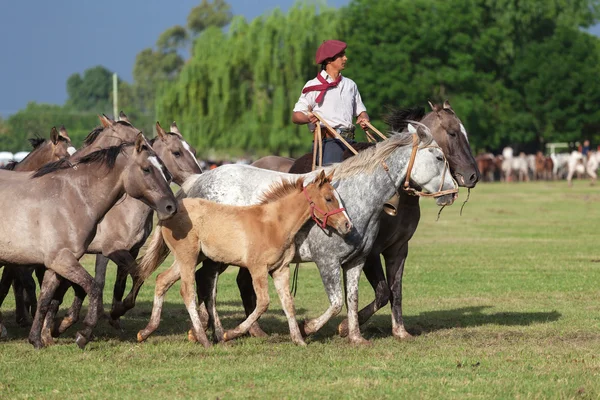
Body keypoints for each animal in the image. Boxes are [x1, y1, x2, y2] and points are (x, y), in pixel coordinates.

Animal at [0, 134, 178, 346]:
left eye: (164, 170)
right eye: (146, 169)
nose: (171, 207)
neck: (72, 199)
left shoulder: (56, 264)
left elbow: (46, 299)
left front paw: (37, 339)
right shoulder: (63, 259)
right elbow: (93, 287)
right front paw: (83, 334)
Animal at [136, 170, 352, 348]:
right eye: (329, 198)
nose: (347, 225)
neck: (274, 224)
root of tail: (172, 210)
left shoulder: (280, 269)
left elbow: (288, 303)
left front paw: (299, 339)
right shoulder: (257, 268)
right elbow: (263, 302)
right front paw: (231, 334)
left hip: (190, 258)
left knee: (162, 280)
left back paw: (145, 332)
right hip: (187, 256)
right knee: (187, 292)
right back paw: (205, 339)